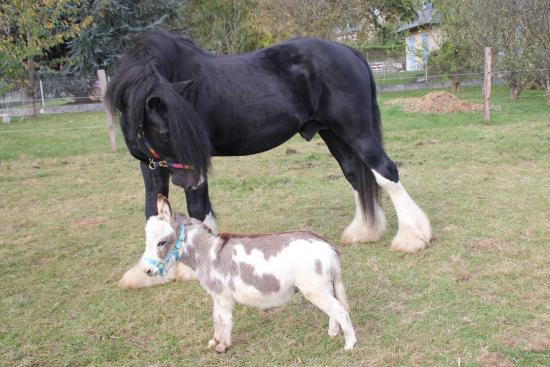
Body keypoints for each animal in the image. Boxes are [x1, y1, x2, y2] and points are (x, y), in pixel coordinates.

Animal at [108, 28, 434, 288]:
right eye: (164, 131)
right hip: (333, 133)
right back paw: (364, 231)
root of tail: (350, 52)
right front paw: (148, 270)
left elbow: (198, 209)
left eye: (187, 129)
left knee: (385, 171)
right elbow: (153, 212)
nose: (190, 179)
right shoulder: (151, 166)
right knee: (355, 174)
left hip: (356, 130)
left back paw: (412, 237)